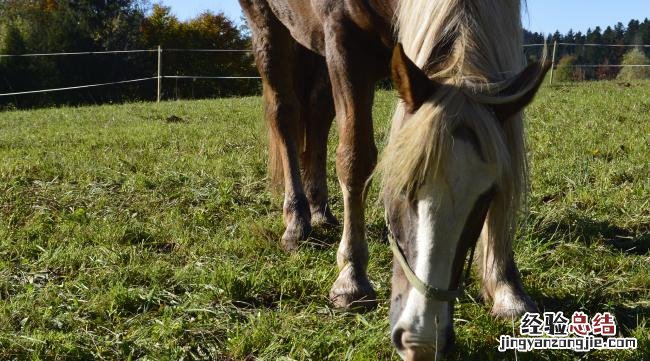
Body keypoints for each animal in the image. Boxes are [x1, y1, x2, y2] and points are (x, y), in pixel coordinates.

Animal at [238, 0, 548, 358]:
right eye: (400, 188)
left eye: (487, 195)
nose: (422, 340)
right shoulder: (344, 40)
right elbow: (355, 159)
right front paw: (351, 278)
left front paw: (506, 288)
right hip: (268, 28)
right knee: (285, 113)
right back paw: (297, 222)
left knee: (317, 112)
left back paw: (320, 211)